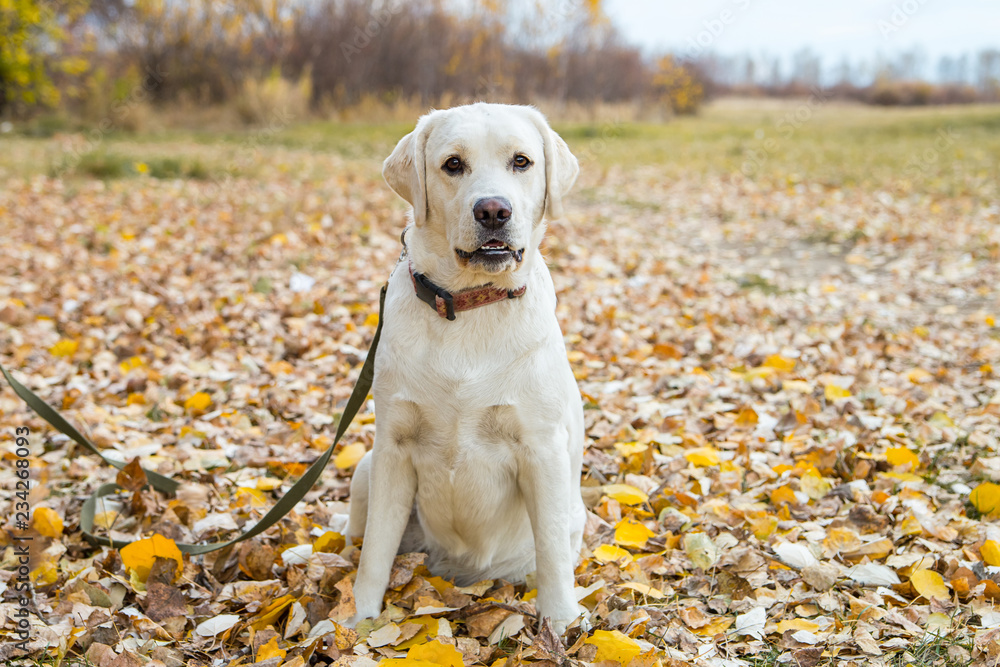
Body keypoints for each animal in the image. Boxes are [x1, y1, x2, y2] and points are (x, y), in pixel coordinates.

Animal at [348, 102, 588, 636]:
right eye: (453, 164)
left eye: (521, 161)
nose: (493, 210)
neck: (469, 304)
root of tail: (459, 575)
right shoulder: (393, 447)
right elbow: (374, 553)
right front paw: (358, 623)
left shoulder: (541, 448)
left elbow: (553, 558)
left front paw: (561, 623)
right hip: (366, 468)